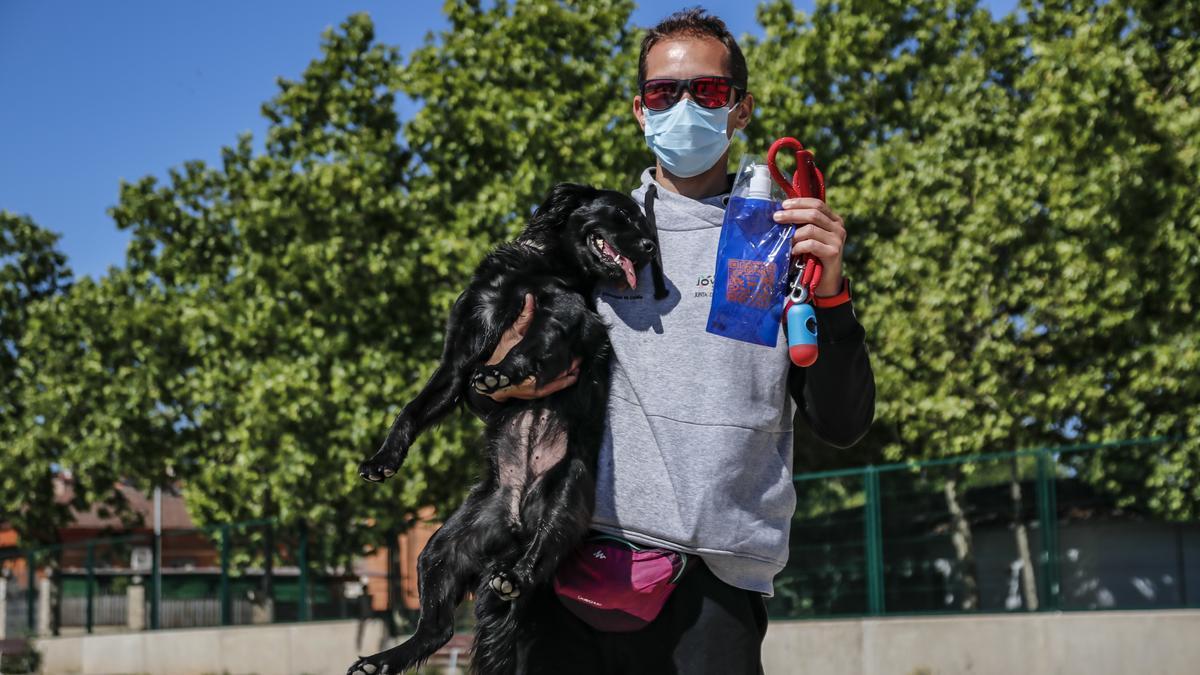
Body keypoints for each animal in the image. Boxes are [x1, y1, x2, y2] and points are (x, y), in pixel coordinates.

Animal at [350, 182, 657, 672]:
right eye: (624, 216)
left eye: (643, 223)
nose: (649, 248)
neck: (537, 268)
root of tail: (515, 525)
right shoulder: (457, 359)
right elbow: (411, 411)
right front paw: (384, 460)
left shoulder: (564, 315)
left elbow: (531, 345)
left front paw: (502, 373)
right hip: (441, 549)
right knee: (436, 629)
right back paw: (382, 659)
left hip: (567, 492)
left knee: (539, 558)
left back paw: (514, 576)